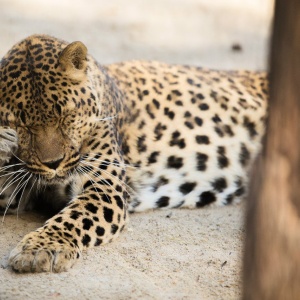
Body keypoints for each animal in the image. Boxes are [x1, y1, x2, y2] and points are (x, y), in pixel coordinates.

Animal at [0, 34, 268, 272]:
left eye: (66, 116)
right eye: (21, 125)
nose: (54, 163)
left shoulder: (105, 188)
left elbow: (73, 218)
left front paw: (39, 249)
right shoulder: (21, 191)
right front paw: (3, 141)